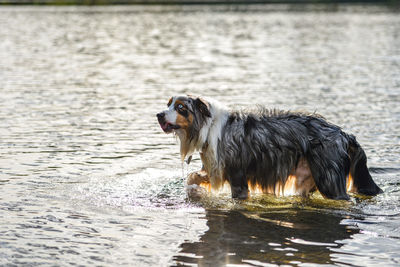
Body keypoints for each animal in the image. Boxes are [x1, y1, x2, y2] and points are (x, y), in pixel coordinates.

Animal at [155, 96, 382, 201]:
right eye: (168, 104)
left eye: (181, 107)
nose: (158, 114)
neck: (207, 126)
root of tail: (344, 133)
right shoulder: (217, 168)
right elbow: (192, 177)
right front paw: (193, 190)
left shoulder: (238, 177)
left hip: (330, 182)